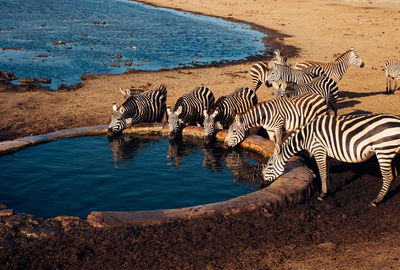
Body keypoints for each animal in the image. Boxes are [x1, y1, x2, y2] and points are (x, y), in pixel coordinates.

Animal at [260, 114, 400, 207]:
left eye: (270, 164)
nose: (261, 184)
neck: (305, 137)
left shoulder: (319, 150)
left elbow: (321, 173)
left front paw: (322, 194)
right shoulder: (324, 152)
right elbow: (326, 172)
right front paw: (328, 189)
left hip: (384, 150)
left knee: (388, 176)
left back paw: (377, 200)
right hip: (390, 153)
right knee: (393, 176)